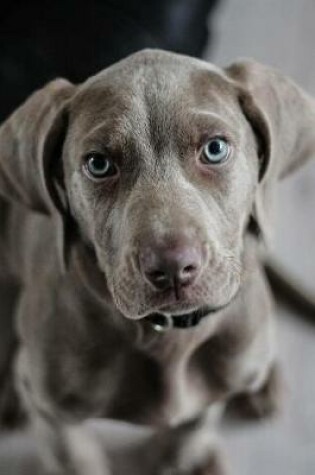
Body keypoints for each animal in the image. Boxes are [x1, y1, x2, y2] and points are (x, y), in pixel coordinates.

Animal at [0, 50, 315, 474]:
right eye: (98, 164)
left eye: (215, 149)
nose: (172, 269)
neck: (167, 336)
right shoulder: (52, 411)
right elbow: (76, 458)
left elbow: (192, 427)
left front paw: (185, 457)